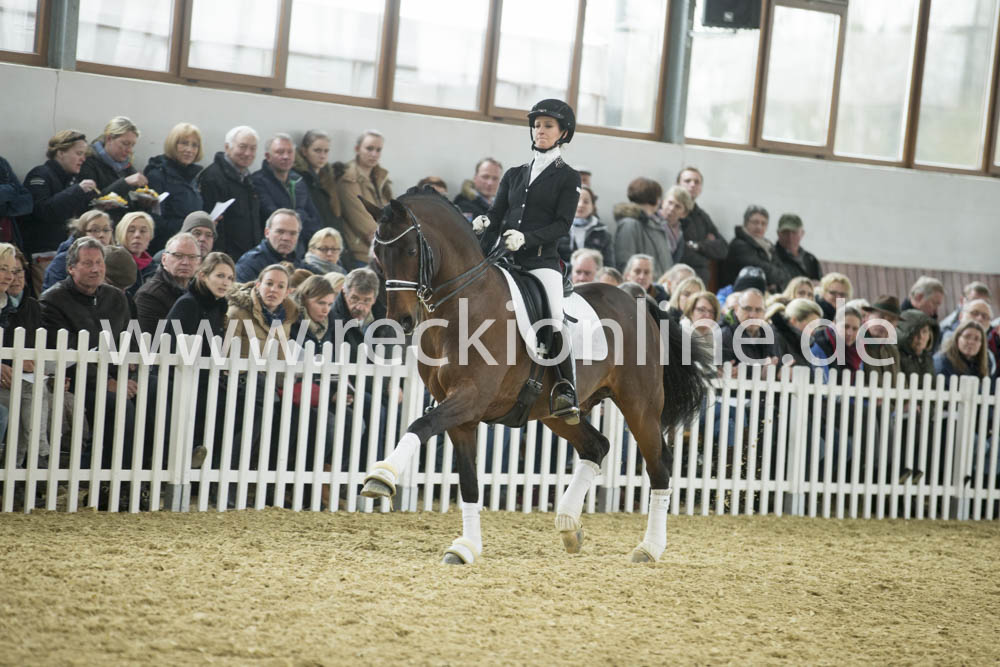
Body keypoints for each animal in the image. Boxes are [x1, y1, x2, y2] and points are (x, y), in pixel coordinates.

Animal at [358, 190, 713, 564]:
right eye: (379, 255)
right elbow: (468, 480)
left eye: (411, 251)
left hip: (639, 406)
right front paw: (466, 547)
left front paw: (382, 476)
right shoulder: (459, 413)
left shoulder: (470, 397)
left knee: (659, 466)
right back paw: (569, 526)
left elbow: (421, 425)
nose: (400, 320)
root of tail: (638, 302)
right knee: (596, 446)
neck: (463, 303)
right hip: (556, 412)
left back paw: (648, 547)